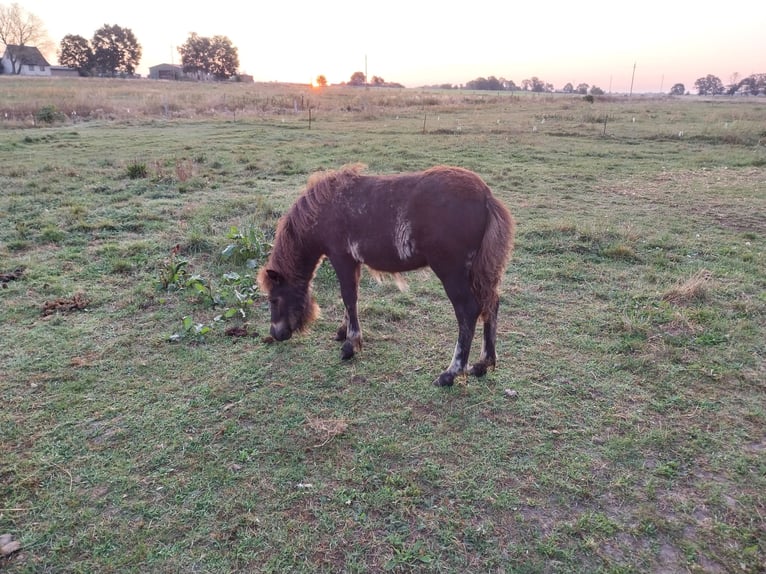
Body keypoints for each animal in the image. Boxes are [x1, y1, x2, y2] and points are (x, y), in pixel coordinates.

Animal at [258, 164, 516, 390]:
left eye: (273, 299)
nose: (276, 334)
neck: (326, 207)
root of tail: (486, 197)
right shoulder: (353, 261)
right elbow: (350, 297)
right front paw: (343, 332)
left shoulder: (341, 257)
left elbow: (348, 296)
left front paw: (351, 344)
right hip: (478, 271)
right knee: (491, 304)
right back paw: (483, 364)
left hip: (451, 271)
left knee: (468, 311)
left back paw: (451, 373)